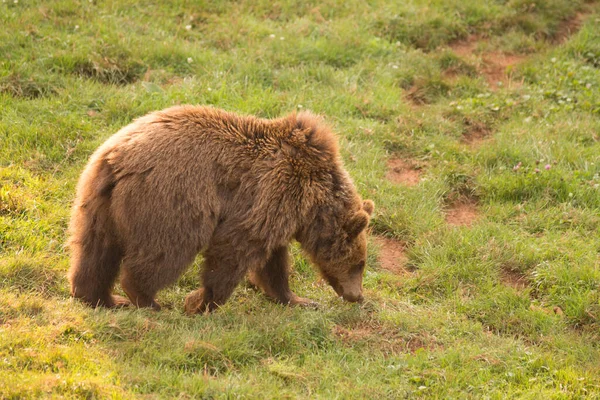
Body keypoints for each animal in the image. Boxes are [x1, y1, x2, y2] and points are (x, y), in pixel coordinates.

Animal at [67, 104, 376, 314]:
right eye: (360, 263)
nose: (356, 296)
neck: (312, 204)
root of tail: (117, 158)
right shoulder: (272, 193)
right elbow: (234, 250)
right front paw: (201, 302)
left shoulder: (277, 212)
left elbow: (272, 263)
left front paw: (298, 299)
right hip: (172, 199)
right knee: (165, 251)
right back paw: (148, 300)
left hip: (96, 201)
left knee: (95, 250)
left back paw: (101, 298)